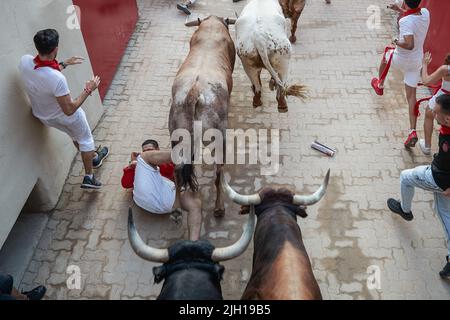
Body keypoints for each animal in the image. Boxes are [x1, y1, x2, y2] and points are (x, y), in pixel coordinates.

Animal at [169, 16, 237, 239]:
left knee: (177, 170)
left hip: (175, 134)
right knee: (218, 173)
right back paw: (219, 208)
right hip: (218, 136)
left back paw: (175, 209)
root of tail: (194, 92)